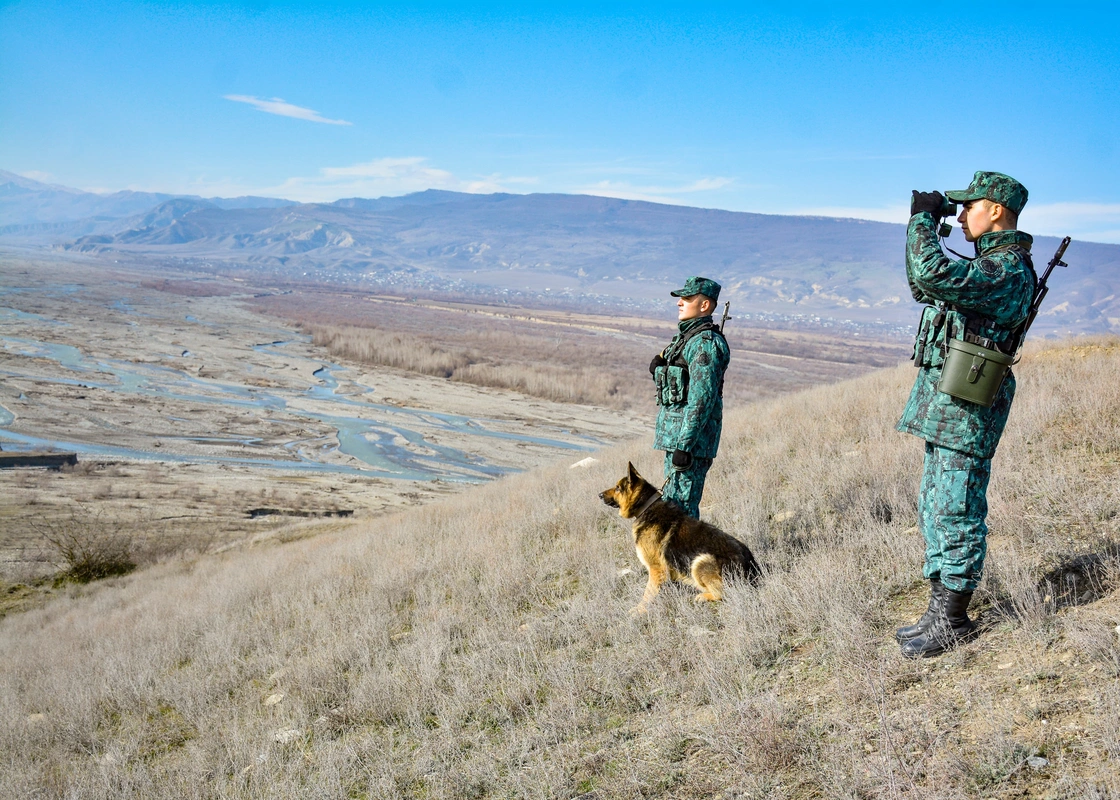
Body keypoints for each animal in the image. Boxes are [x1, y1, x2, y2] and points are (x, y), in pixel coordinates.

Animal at [595, 461, 761, 609]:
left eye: (617, 488)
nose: (599, 495)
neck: (646, 506)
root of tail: (751, 568)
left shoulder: (656, 569)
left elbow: (647, 595)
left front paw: (638, 612)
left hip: (700, 561)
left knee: (723, 593)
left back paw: (703, 596)